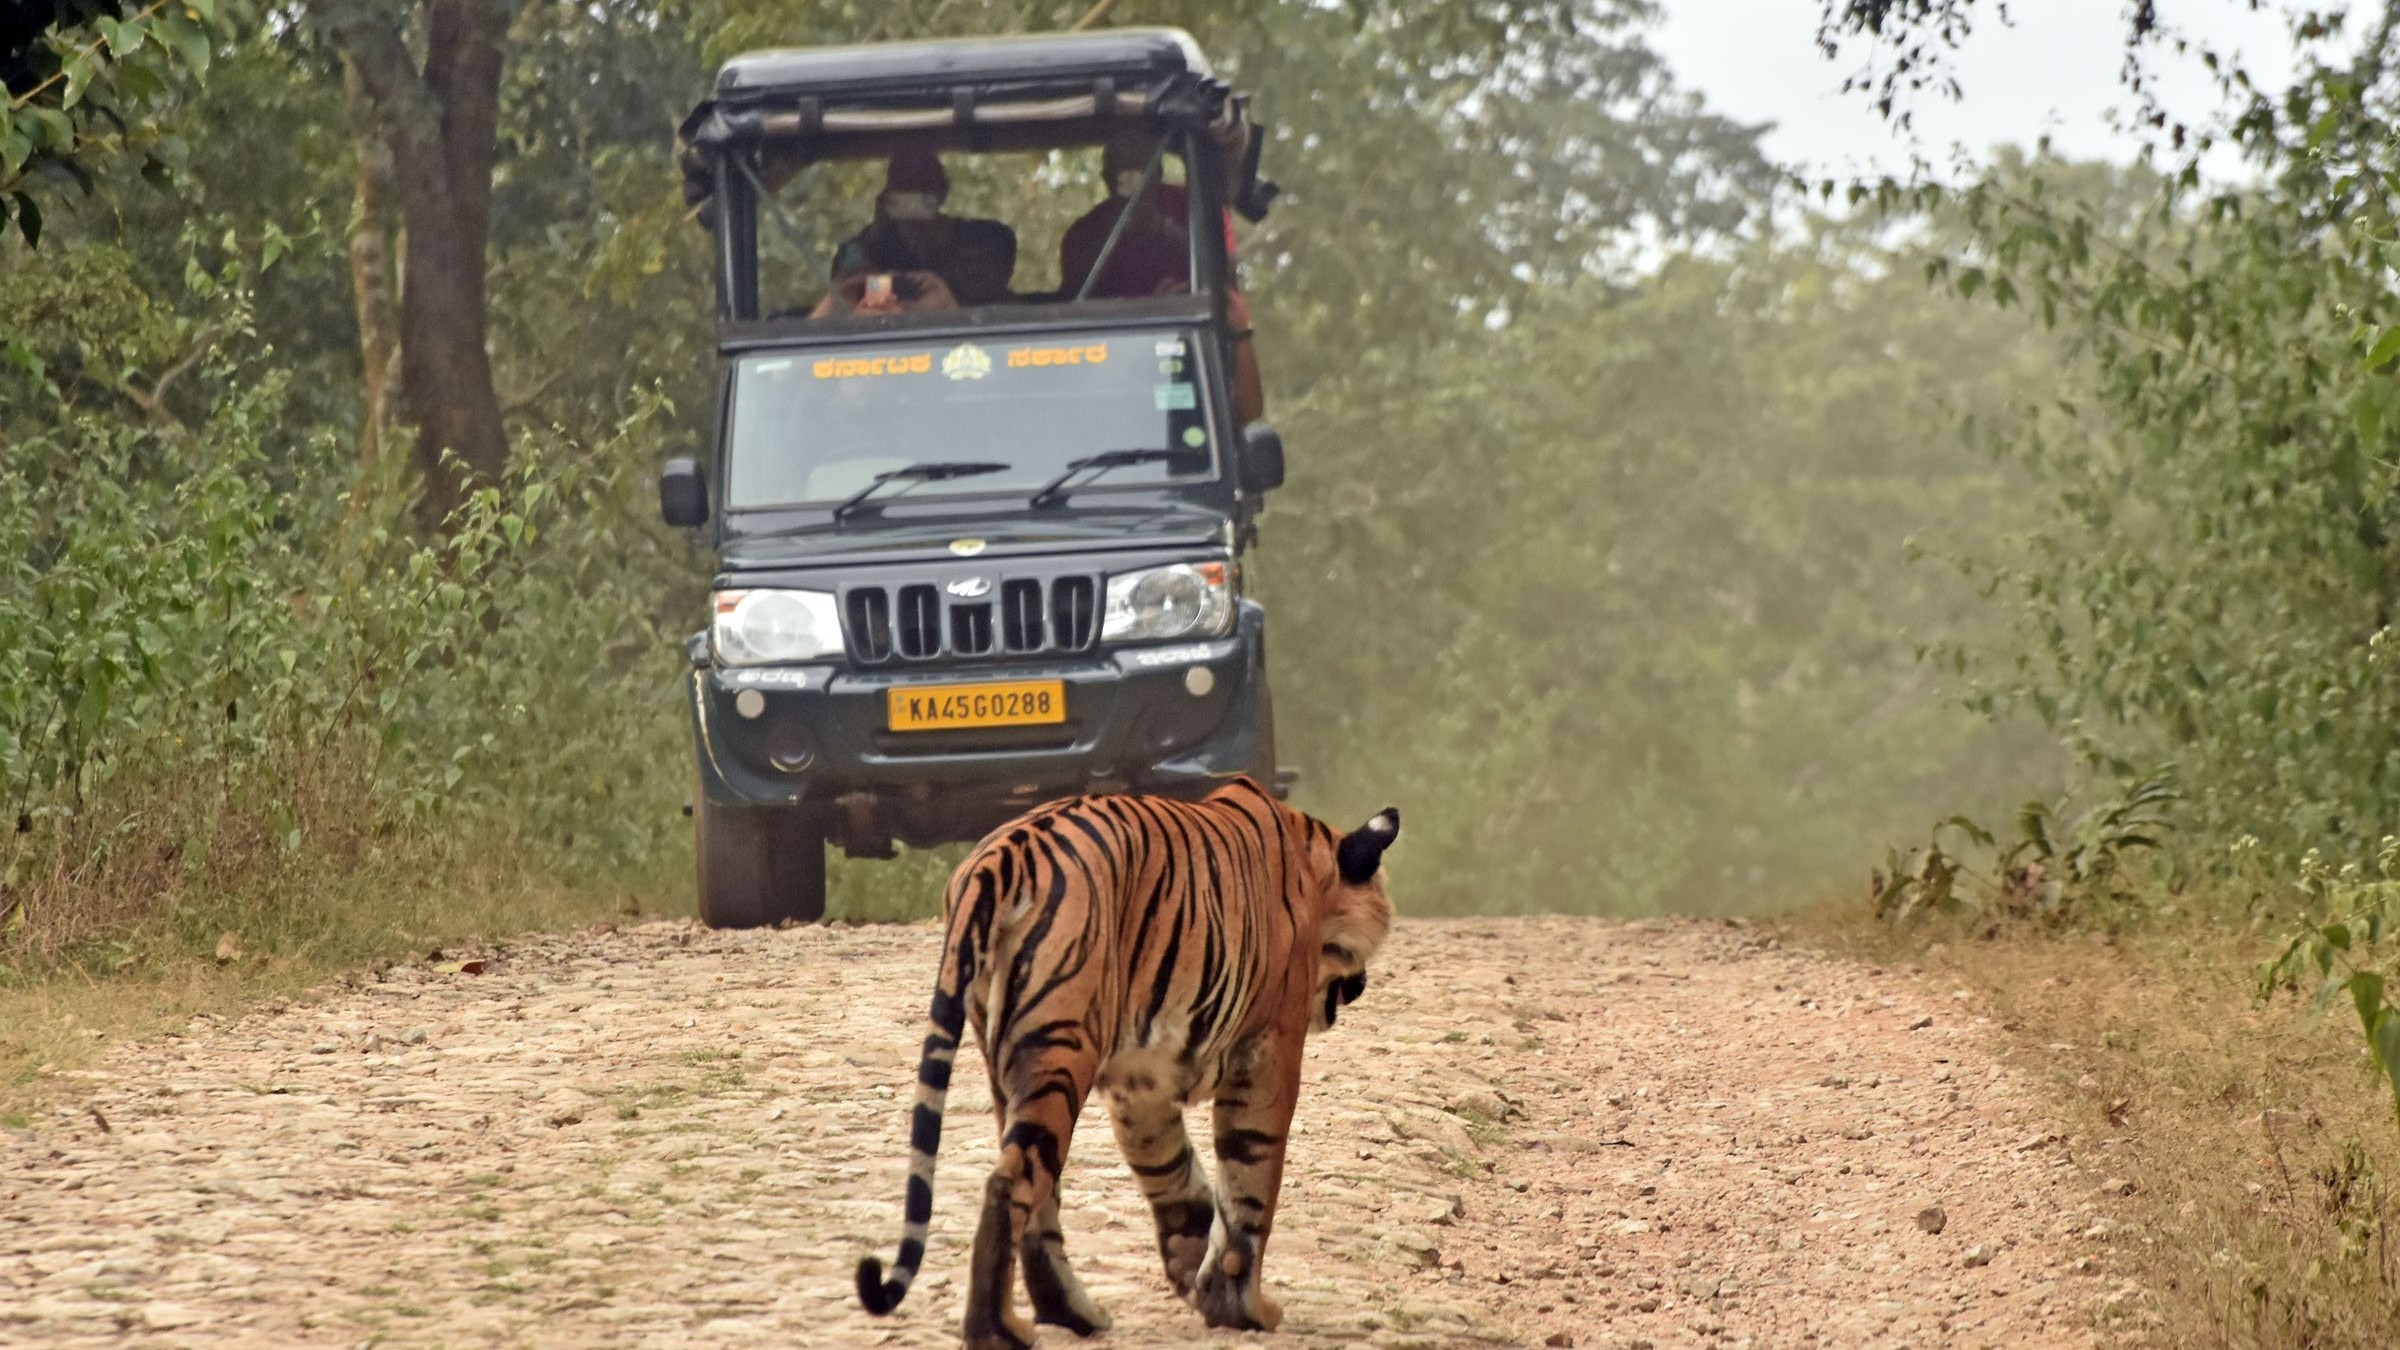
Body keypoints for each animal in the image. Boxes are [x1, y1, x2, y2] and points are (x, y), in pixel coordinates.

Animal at [854, 775, 1400, 1349]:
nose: (1362, 986)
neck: (1313, 859)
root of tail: (1001, 855)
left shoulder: (1142, 1083)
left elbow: (1172, 1170)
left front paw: (1191, 1271)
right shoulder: (1269, 1047)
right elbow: (1250, 1178)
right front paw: (1242, 1307)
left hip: (1011, 1067)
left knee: (1038, 1197)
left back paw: (1072, 1314)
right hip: (1060, 1050)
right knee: (1012, 1184)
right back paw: (996, 1330)